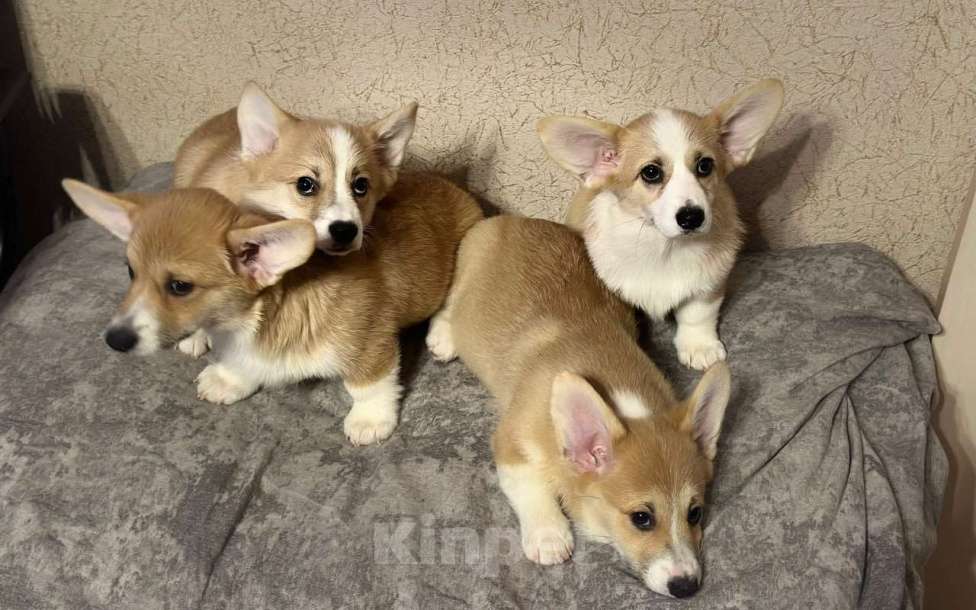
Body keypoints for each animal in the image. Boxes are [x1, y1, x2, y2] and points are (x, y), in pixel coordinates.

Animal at [62, 179, 482, 445]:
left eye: (180, 286)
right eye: (130, 271)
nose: (114, 340)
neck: (250, 320)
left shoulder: (370, 342)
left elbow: (368, 385)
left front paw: (368, 420)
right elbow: (245, 363)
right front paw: (228, 379)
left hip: (467, 252)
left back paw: (443, 336)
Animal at [426, 215, 731, 598]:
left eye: (695, 513)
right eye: (642, 518)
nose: (686, 587)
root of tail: (514, 218)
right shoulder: (511, 444)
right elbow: (529, 489)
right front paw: (549, 536)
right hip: (463, 271)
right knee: (447, 302)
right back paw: (443, 336)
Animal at [537, 79, 784, 370]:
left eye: (705, 165)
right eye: (651, 172)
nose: (692, 217)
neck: (665, 247)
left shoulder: (710, 282)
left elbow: (697, 313)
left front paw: (699, 346)